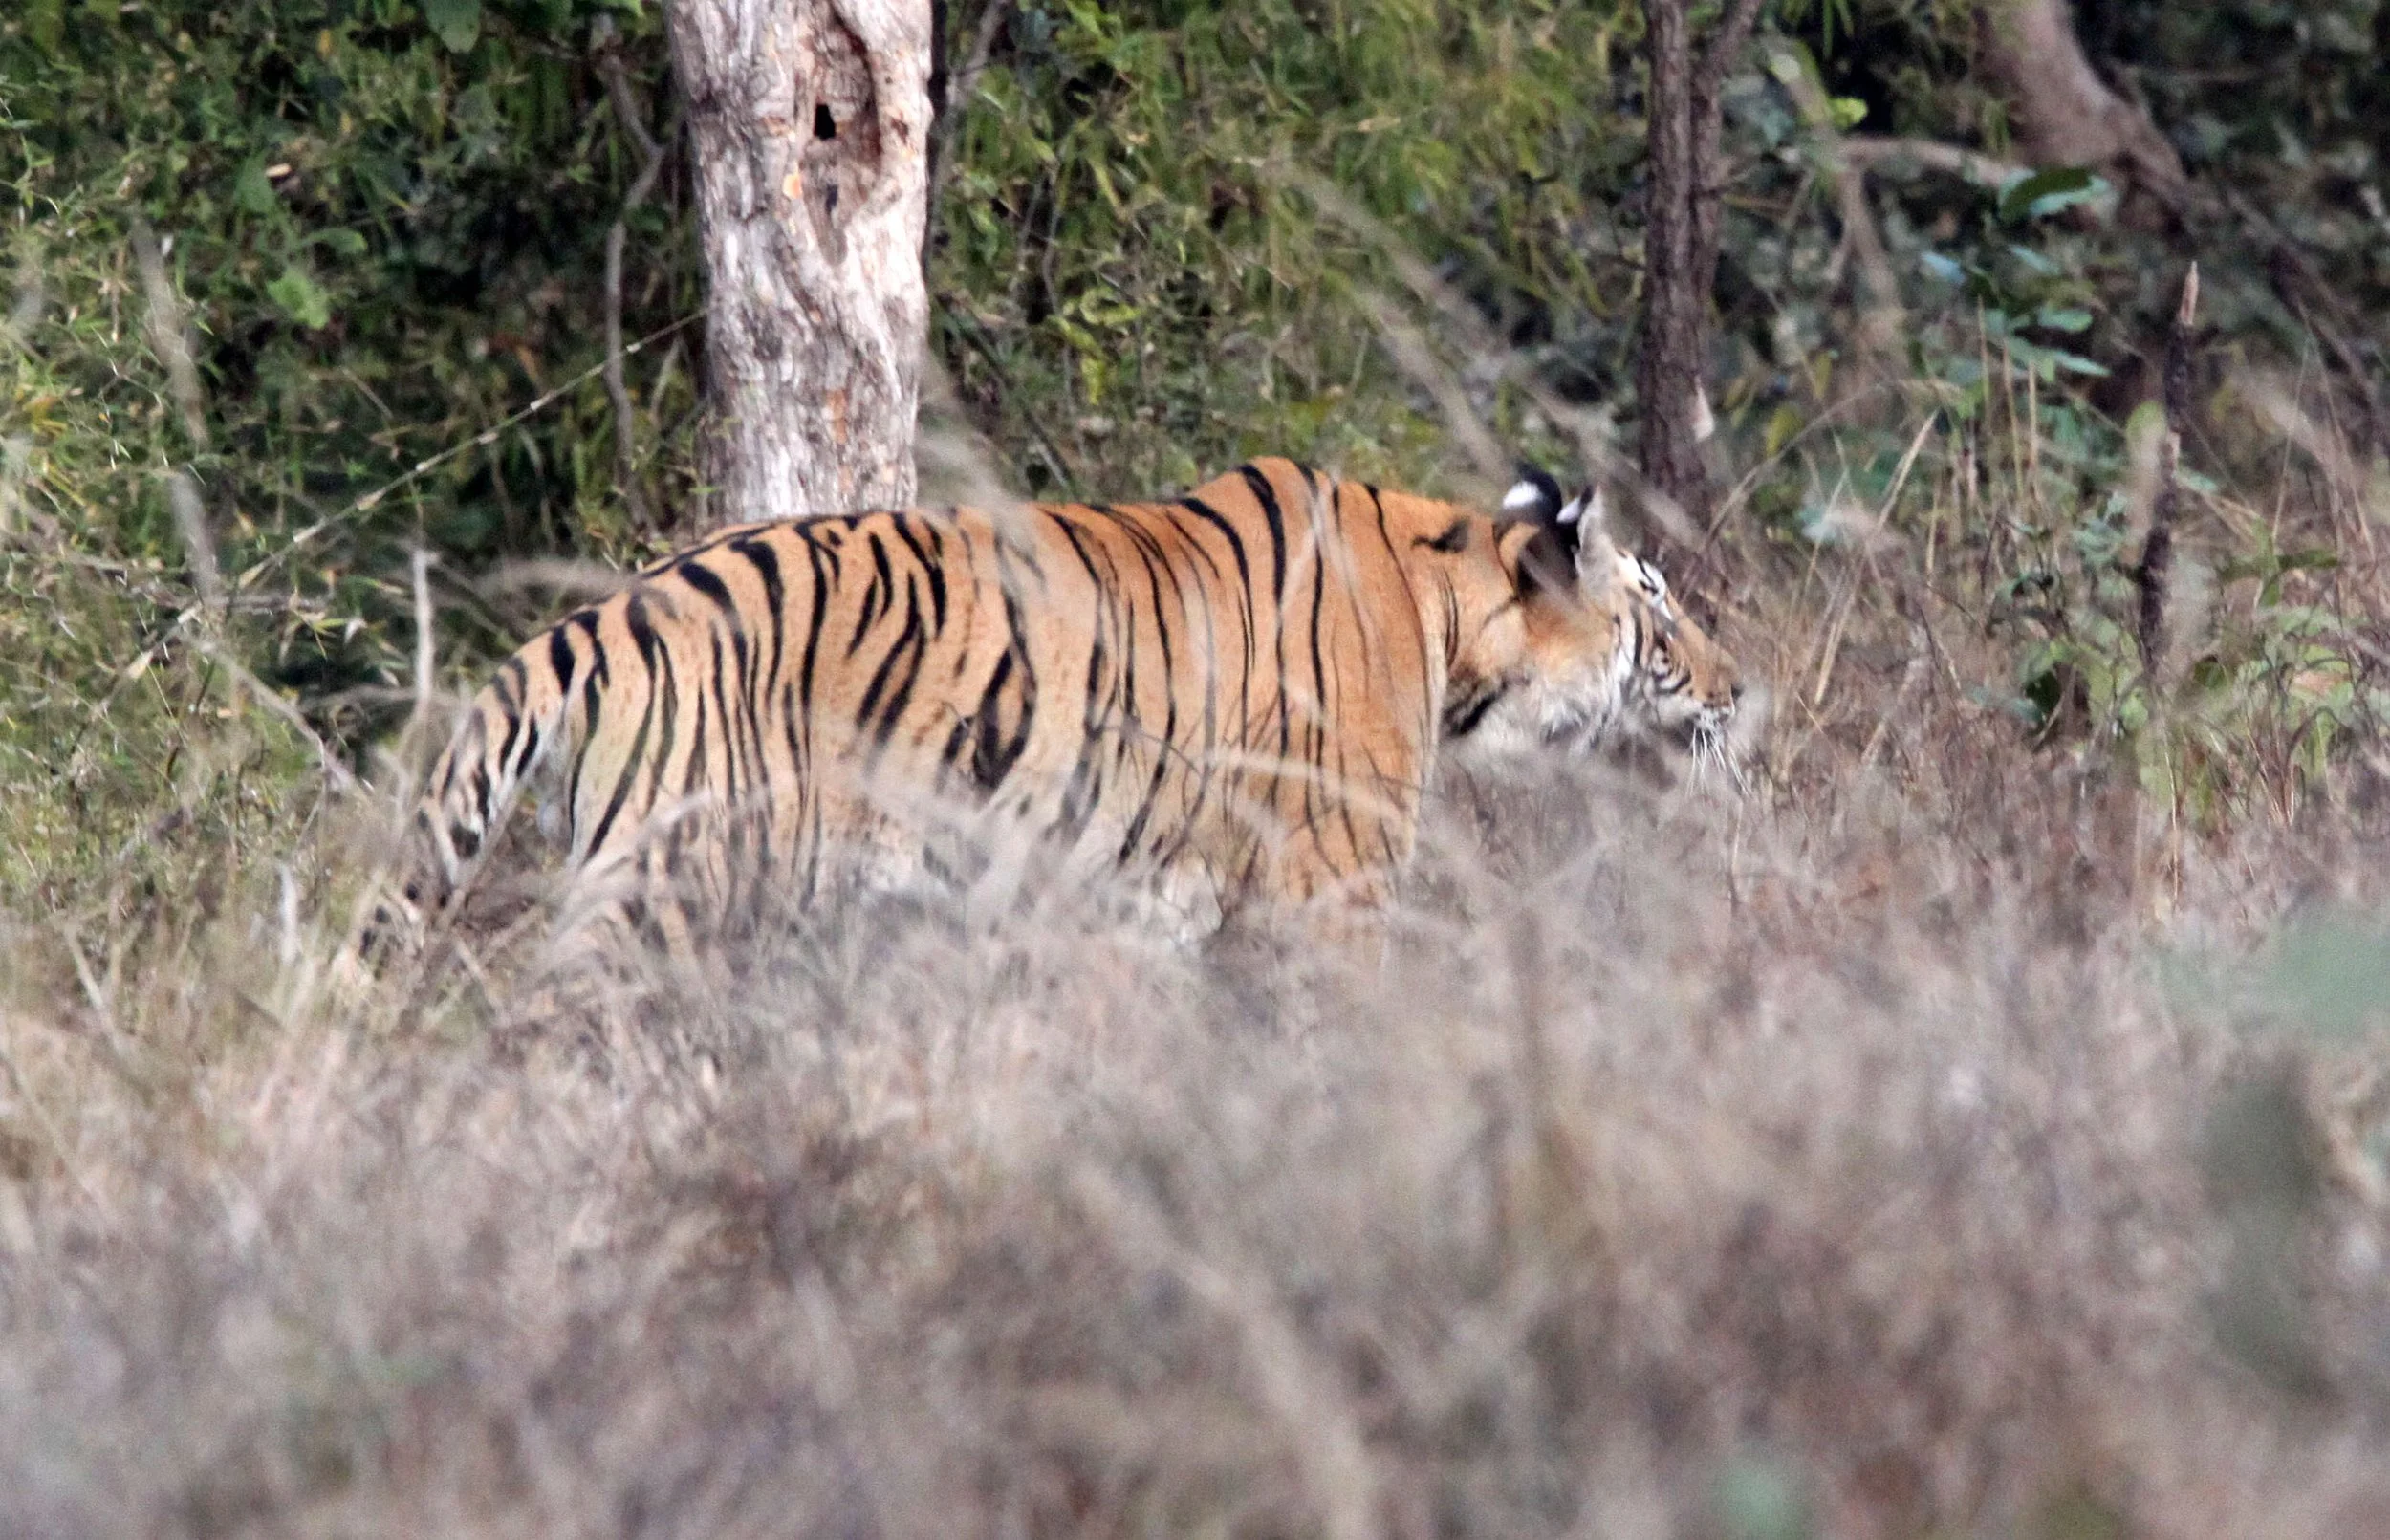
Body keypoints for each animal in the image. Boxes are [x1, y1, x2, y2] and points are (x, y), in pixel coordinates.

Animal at [398, 457, 1741, 965]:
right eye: (1659, 604)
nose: (1741, 687)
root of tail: (609, 611)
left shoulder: (1158, 901)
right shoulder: (1331, 889)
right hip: (664, 892)